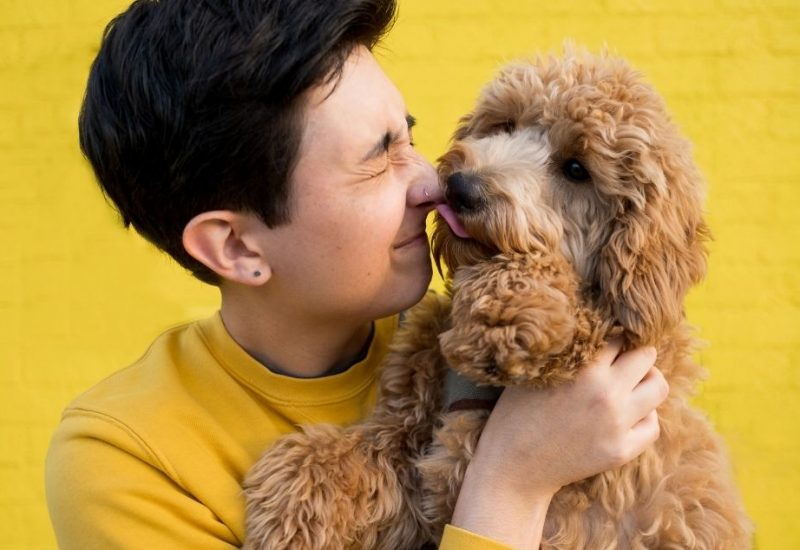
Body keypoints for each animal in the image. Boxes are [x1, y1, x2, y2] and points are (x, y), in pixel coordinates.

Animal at [242, 50, 752, 550]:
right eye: (505, 124)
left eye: (576, 170)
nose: (462, 188)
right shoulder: (417, 450)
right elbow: (368, 452)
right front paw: (291, 492)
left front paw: (506, 311)